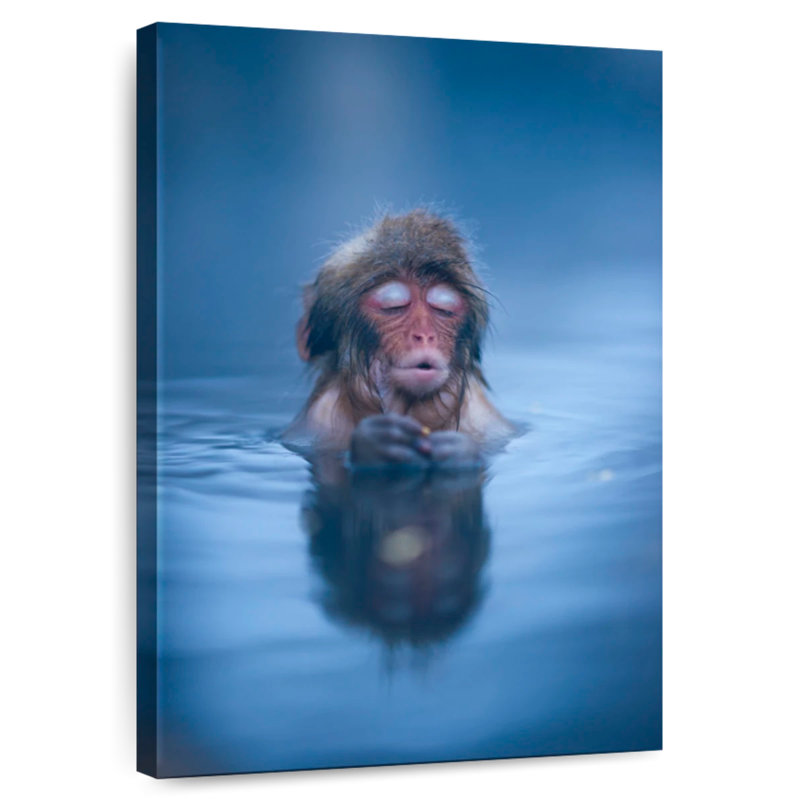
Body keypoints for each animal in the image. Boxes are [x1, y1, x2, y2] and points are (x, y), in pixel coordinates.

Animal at [283, 210, 514, 468]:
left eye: (444, 310)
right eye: (393, 307)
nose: (425, 335)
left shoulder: (484, 418)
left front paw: (457, 451)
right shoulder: (318, 422)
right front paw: (375, 442)